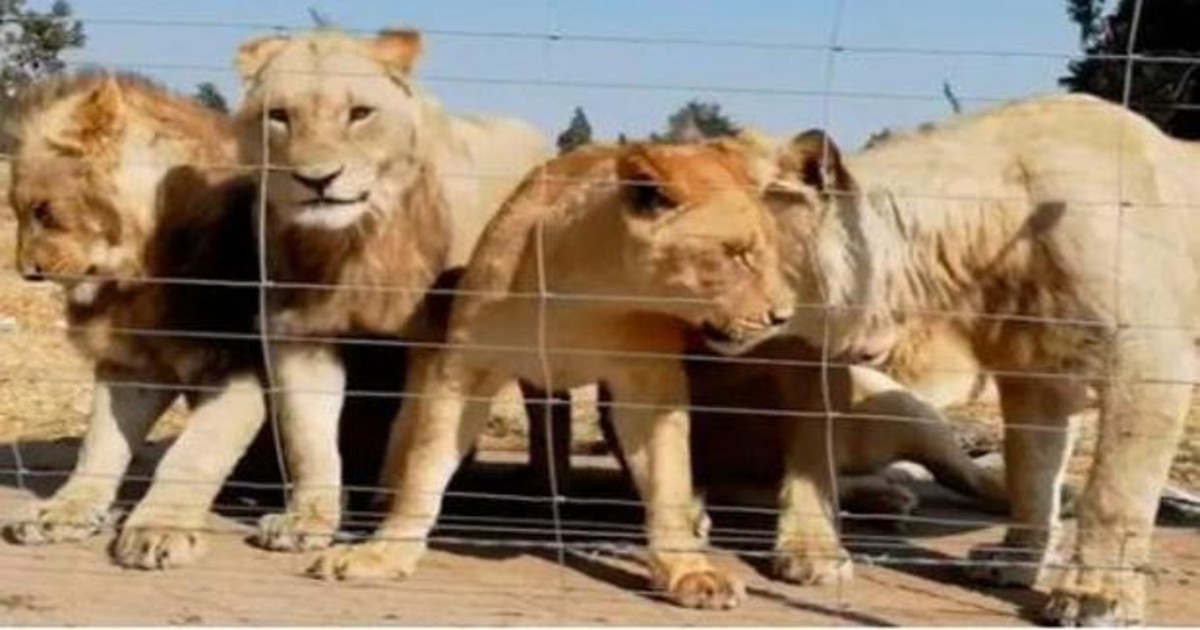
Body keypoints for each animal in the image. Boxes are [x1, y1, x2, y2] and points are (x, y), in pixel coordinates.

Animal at [3, 72, 268, 569]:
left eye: (43, 210)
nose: (27, 272)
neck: (143, 268)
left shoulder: (241, 365)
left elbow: (192, 454)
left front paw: (158, 530)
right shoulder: (134, 367)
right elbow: (99, 445)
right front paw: (62, 513)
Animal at [231, 27, 550, 552]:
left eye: (360, 113)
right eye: (278, 116)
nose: (317, 179)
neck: (352, 242)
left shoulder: (436, 337)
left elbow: (416, 427)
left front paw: (390, 501)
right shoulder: (298, 331)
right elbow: (307, 434)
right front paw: (307, 521)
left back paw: (539, 492)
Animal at [307, 140, 797, 610]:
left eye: (767, 254)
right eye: (738, 255)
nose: (783, 316)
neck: (588, 297)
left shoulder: (649, 386)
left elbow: (668, 480)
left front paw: (689, 572)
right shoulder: (464, 370)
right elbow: (424, 467)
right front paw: (383, 554)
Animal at [759, 93, 1200, 625]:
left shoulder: (1148, 362)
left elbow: (1115, 494)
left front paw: (1095, 597)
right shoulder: (1037, 377)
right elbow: (1031, 473)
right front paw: (1015, 561)